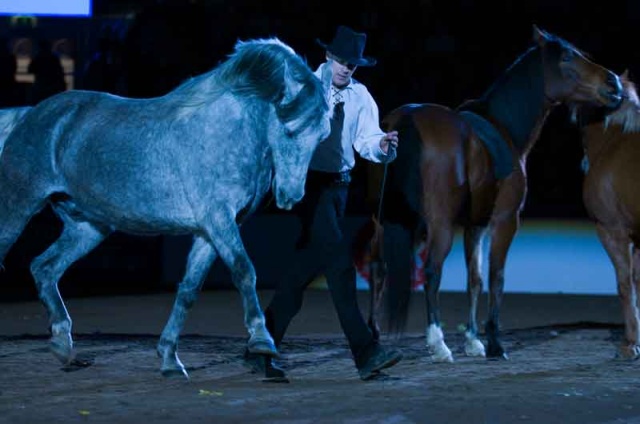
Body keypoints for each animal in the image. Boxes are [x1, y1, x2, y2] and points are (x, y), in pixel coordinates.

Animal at [0, 38, 332, 379]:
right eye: (289, 129)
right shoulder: (218, 219)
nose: (291, 195)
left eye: (322, 135)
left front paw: (171, 359)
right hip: (18, 206)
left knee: (44, 267)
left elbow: (189, 290)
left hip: (88, 227)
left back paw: (63, 346)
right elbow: (244, 271)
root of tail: (29, 115)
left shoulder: (209, 232)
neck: (223, 131)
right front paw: (262, 340)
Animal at [365, 25, 623, 362]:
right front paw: (495, 344)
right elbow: (496, 277)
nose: (614, 83)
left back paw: (374, 337)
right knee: (432, 271)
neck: (504, 127)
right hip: (438, 225)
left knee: (377, 268)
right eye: (567, 56)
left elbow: (474, 280)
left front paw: (474, 341)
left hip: (387, 220)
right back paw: (438, 344)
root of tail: (405, 121)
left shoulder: (475, 226)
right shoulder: (505, 221)